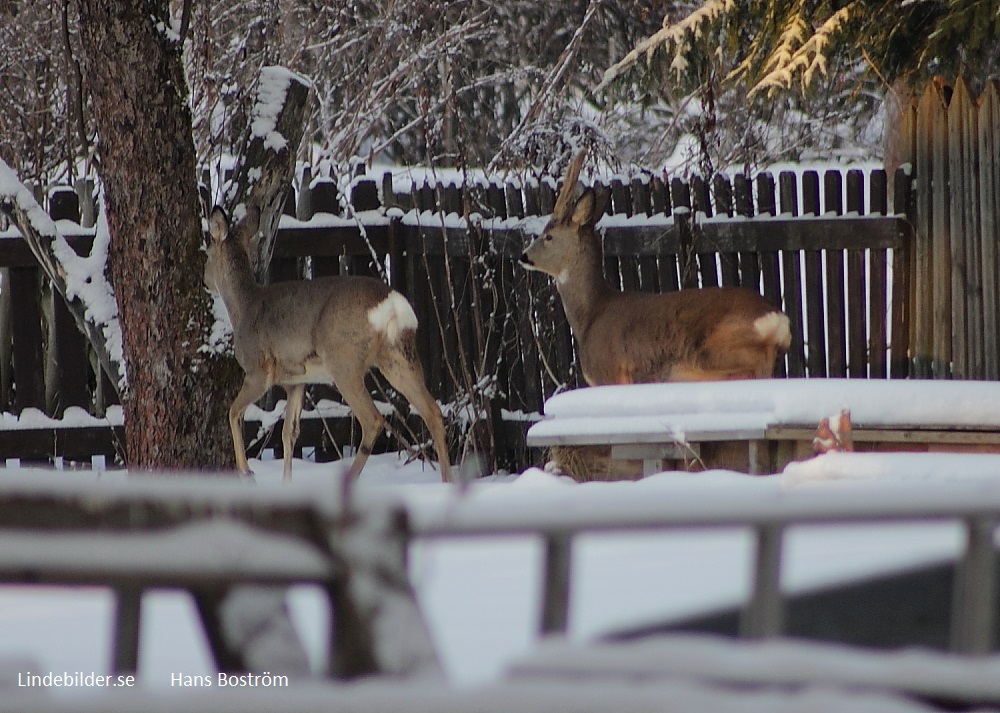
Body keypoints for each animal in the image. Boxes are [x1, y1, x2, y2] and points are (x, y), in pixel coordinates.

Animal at [207, 206, 454, 484]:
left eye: (207, 253)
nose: (205, 281)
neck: (243, 306)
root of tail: (392, 305)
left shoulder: (258, 369)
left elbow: (233, 412)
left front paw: (247, 472)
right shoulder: (297, 381)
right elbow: (289, 433)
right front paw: (285, 483)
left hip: (344, 361)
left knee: (373, 419)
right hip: (398, 356)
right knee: (432, 411)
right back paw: (447, 481)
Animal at [520, 150, 792, 384]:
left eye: (548, 236)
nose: (524, 256)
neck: (591, 315)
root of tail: (776, 317)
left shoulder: (611, 374)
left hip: (712, 350)